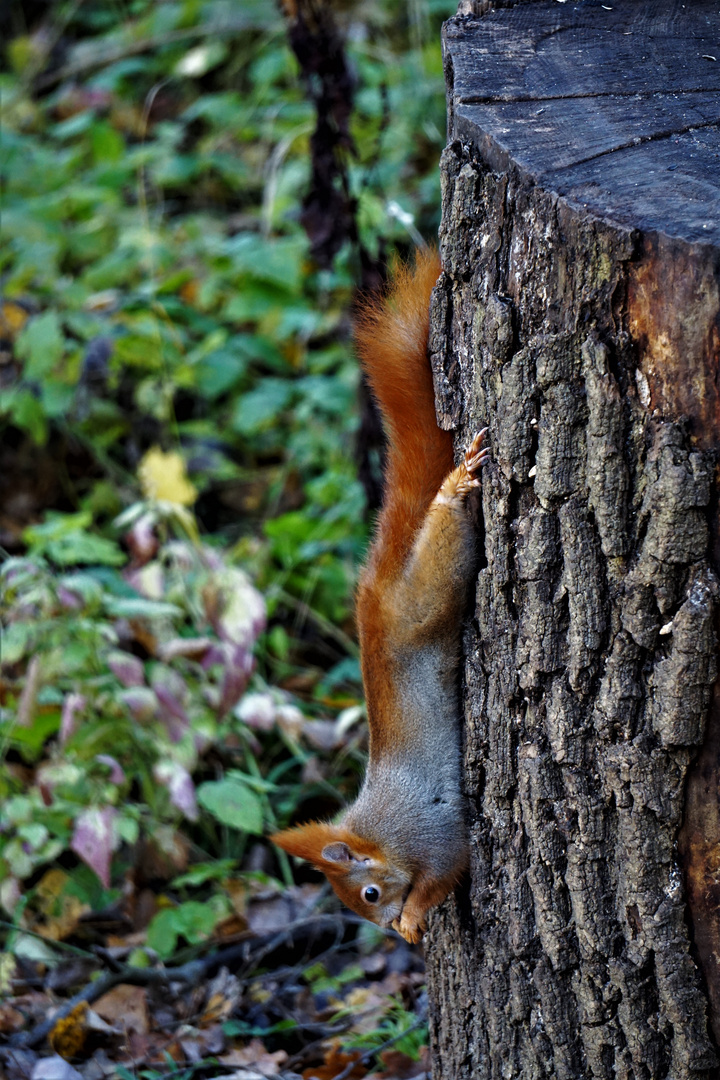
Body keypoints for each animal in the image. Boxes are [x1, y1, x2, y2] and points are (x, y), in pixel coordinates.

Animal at [272, 248, 490, 941]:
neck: (381, 833)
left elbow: (447, 872)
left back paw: (453, 487)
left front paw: (415, 917)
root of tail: (375, 590)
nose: (385, 924)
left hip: (426, 598)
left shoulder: (435, 833)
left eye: (367, 893)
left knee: (445, 548)